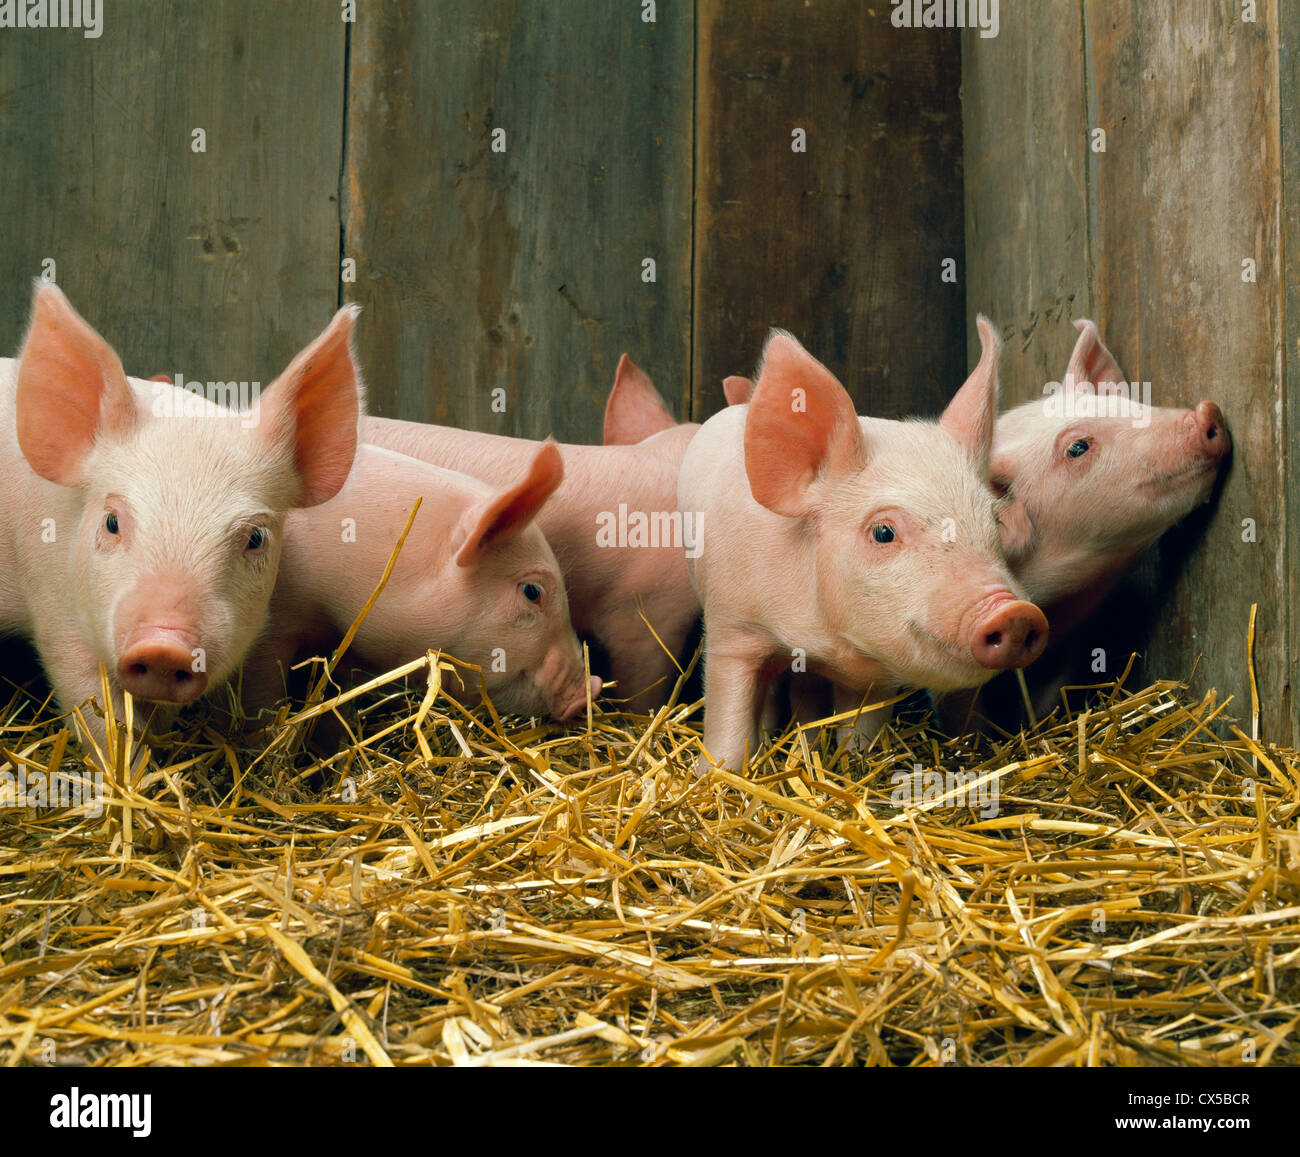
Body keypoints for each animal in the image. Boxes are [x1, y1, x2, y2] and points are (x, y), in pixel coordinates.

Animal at [678, 320, 1049, 771]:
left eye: (994, 521)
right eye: (883, 532)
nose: (1015, 613)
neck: (821, 638)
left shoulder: (876, 671)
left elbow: (863, 729)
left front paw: (855, 761)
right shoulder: (731, 628)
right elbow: (728, 715)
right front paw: (719, 773)